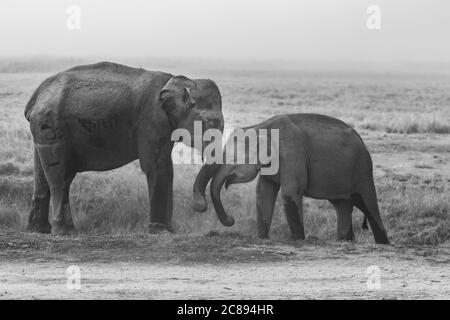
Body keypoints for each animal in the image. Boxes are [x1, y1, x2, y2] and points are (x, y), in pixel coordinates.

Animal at [23, 61, 224, 235]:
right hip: (53, 127)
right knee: (61, 176)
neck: (177, 80)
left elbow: (167, 168)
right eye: (209, 123)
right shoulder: (152, 120)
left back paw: (38, 230)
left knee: (42, 175)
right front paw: (160, 231)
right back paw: (65, 232)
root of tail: (36, 96)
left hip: (43, 131)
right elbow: (157, 167)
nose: (199, 207)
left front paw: (169, 231)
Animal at [193, 114, 390, 244]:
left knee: (369, 206)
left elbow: (289, 193)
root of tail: (362, 140)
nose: (232, 219)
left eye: (233, 159)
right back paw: (345, 241)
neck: (261, 126)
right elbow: (264, 193)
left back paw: (382, 243)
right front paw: (262, 238)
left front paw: (298, 241)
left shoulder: (291, 154)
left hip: (362, 170)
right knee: (342, 206)